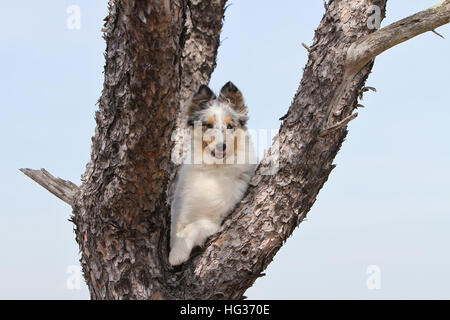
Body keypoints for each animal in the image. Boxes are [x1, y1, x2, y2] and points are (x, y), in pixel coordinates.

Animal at [168, 81, 255, 266]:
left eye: (230, 126)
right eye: (208, 125)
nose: (222, 146)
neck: (214, 168)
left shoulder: (214, 220)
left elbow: (192, 228)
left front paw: (177, 255)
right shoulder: (179, 205)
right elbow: (176, 229)